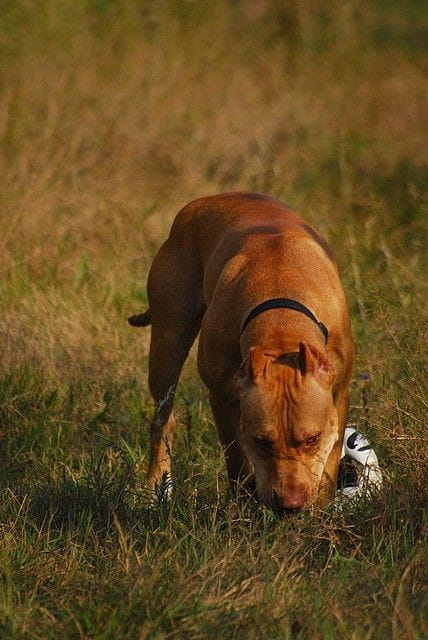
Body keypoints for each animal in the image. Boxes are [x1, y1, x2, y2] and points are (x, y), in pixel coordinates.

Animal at [130, 192, 354, 512]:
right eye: (262, 441)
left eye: (312, 438)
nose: (290, 503)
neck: (281, 322)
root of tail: (209, 199)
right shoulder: (222, 398)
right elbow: (236, 459)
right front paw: (244, 506)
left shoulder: (339, 392)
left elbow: (331, 459)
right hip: (167, 345)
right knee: (163, 419)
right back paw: (155, 489)